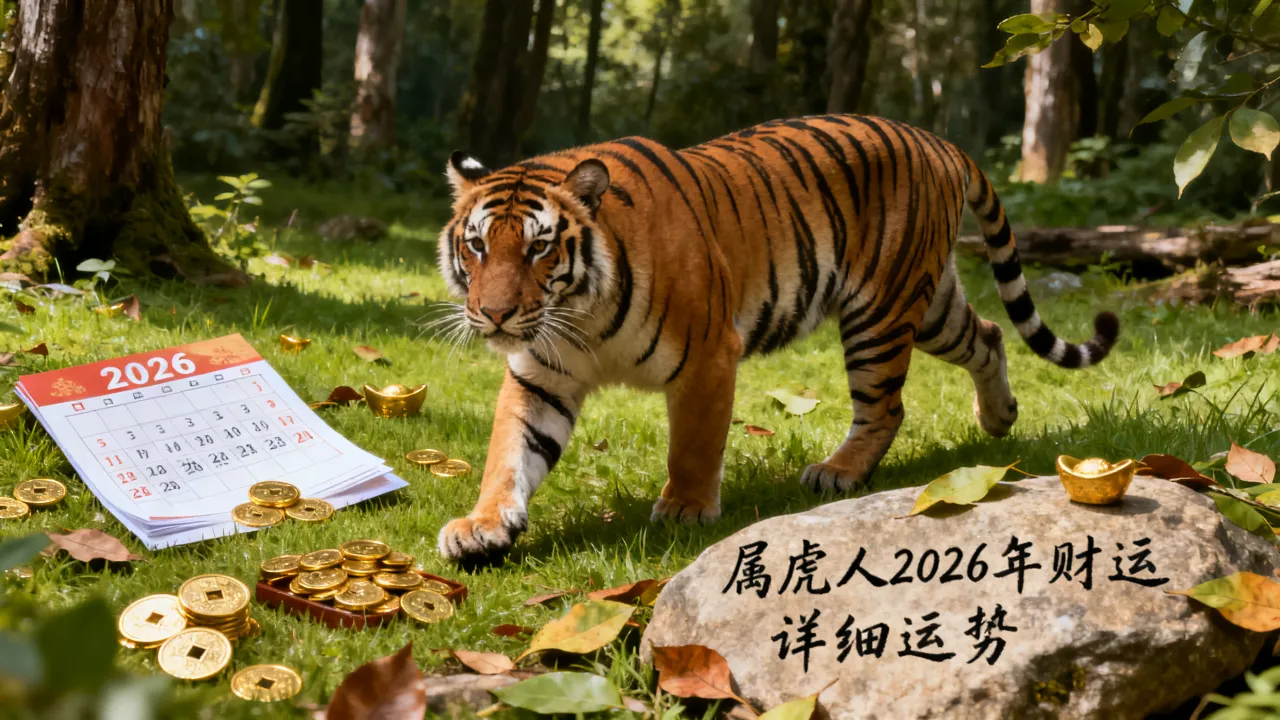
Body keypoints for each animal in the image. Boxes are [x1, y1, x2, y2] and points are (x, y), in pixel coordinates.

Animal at [434, 114, 1118, 562]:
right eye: (477, 245)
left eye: (538, 248)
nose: (494, 315)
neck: (581, 315)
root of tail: (938, 139)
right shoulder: (541, 375)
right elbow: (508, 455)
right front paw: (481, 525)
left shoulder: (708, 356)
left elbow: (693, 446)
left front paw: (685, 509)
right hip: (929, 306)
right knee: (991, 332)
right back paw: (999, 416)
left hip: (880, 310)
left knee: (886, 405)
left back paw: (838, 472)